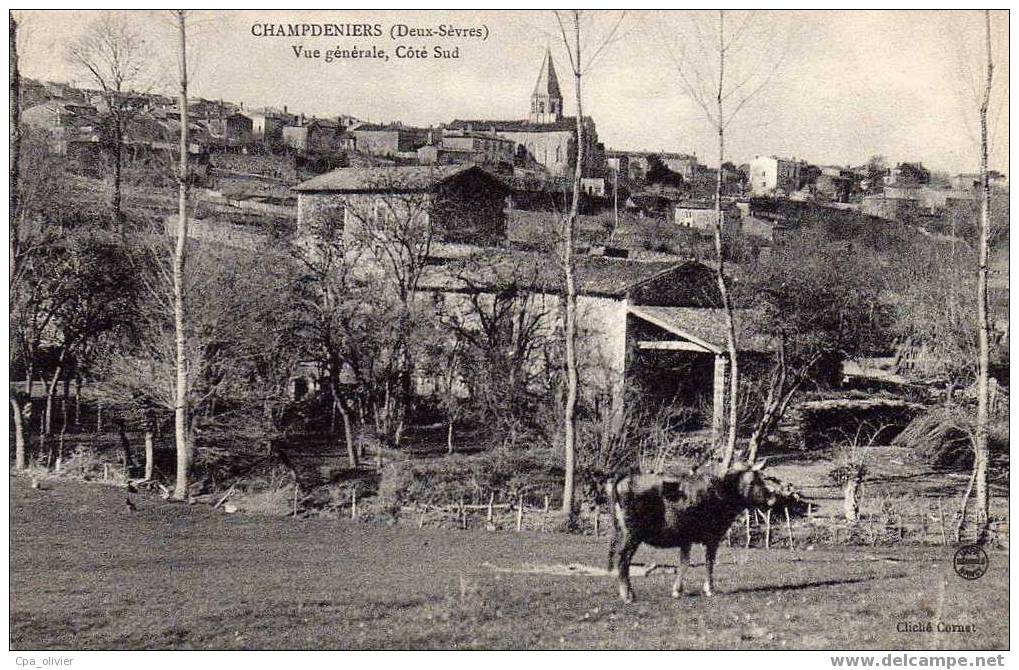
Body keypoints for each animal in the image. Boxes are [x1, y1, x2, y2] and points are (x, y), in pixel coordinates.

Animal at [607, 460, 782, 598]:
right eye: (754, 481)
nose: (772, 499)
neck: (722, 493)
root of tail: (626, 477)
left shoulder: (686, 538)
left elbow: (684, 563)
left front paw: (677, 590)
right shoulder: (713, 536)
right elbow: (709, 562)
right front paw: (709, 589)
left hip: (623, 532)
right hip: (631, 534)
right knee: (623, 559)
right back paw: (627, 595)